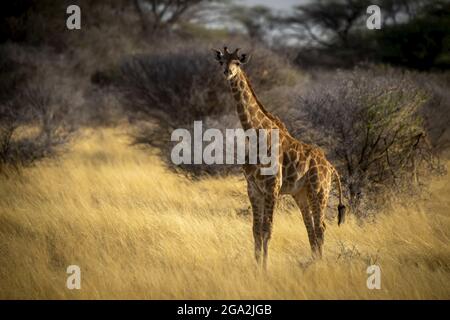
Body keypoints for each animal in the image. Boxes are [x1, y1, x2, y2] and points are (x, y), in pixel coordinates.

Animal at [213, 47, 346, 268]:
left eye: (237, 63)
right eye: (222, 61)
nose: (227, 73)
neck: (255, 134)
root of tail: (330, 167)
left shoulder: (272, 186)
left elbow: (267, 229)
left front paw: (264, 268)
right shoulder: (253, 188)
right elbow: (256, 230)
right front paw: (256, 265)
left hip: (319, 190)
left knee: (320, 227)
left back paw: (318, 265)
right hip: (301, 194)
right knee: (310, 228)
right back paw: (312, 263)